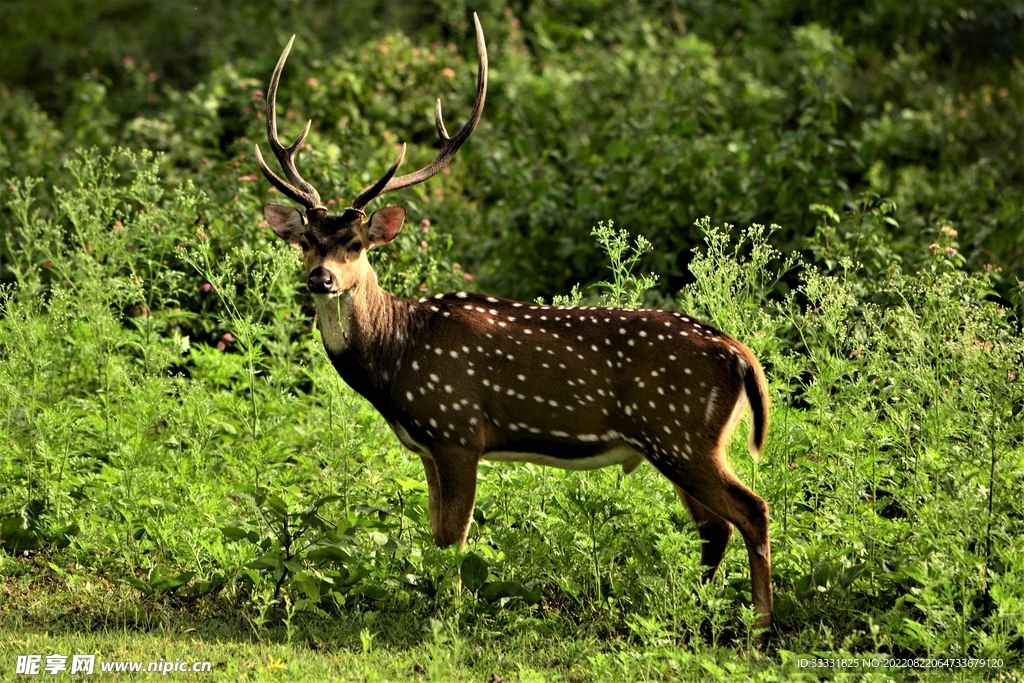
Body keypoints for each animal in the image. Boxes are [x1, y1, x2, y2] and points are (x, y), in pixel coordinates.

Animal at [255, 15, 773, 633]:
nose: (322, 278)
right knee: (714, 526)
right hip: (677, 442)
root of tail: (743, 356)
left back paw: (760, 625)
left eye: (356, 244)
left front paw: (449, 616)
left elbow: (454, 536)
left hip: (681, 434)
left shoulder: (458, 429)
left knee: (751, 510)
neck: (395, 357)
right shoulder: (428, 445)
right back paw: (695, 611)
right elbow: (436, 534)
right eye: (308, 241)